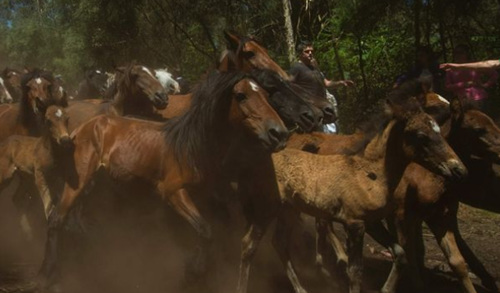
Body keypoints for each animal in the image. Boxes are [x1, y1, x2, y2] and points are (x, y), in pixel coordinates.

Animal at [38, 71, 290, 290]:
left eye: (266, 95)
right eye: (241, 95)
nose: (279, 134)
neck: (192, 146)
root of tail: (78, 130)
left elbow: (214, 235)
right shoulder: (172, 192)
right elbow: (206, 231)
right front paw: (192, 272)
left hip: (92, 186)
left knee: (73, 219)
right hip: (78, 182)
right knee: (55, 219)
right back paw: (47, 273)